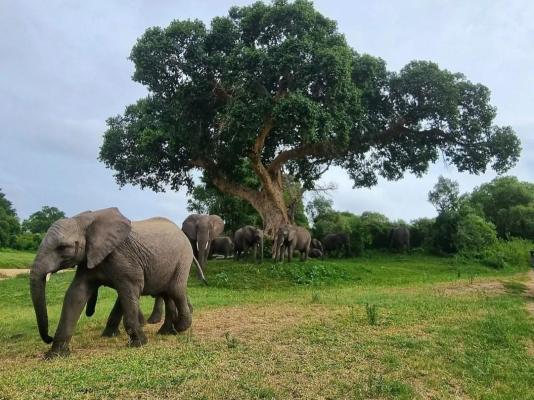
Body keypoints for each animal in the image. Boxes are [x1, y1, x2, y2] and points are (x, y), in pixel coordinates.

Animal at [28, 208, 201, 358]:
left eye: (63, 247)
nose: (48, 337)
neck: (85, 220)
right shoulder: (89, 258)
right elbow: (76, 294)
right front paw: (55, 355)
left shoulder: (123, 258)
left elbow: (129, 290)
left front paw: (139, 344)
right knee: (166, 294)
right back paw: (166, 332)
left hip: (183, 258)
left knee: (176, 290)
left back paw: (179, 327)